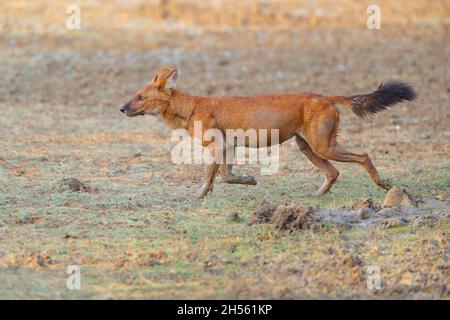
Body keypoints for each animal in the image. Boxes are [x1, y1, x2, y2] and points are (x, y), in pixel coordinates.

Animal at [119, 66, 414, 199]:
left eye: (141, 97)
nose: (121, 108)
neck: (191, 108)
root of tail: (326, 95)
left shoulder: (218, 146)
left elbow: (212, 177)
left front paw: (200, 195)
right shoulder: (229, 147)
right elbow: (226, 175)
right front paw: (248, 180)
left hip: (323, 146)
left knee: (363, 156)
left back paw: (384, 185)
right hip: (307, 147)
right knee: (333, 172)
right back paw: (316, 197)